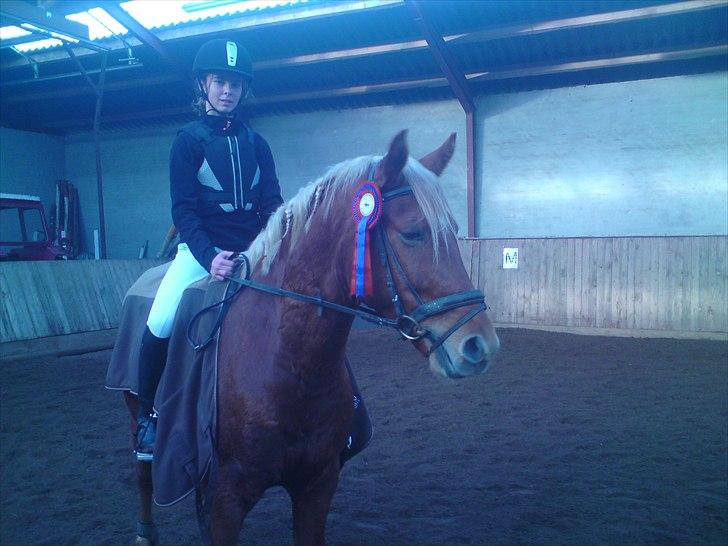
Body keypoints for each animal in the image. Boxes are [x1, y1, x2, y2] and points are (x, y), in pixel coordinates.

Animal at [124, 130, 500, 545]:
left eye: (454, 231)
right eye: (413, 234)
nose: (479, 345)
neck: (290, 364)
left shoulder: (317, 485)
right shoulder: (226, 500)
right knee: (142, 470)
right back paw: (144, 530)